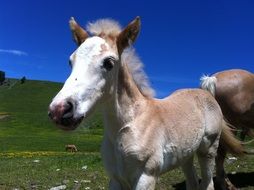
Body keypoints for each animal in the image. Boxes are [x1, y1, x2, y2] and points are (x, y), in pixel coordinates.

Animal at [48, 17, 244, 189]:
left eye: (109, 62)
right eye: (71, 61)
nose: (59, 110)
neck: (127, 125)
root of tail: (207, 93)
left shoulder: (146, 176)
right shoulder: (116, 179)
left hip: (208, 149)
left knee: (208, 183)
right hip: (186, 155)